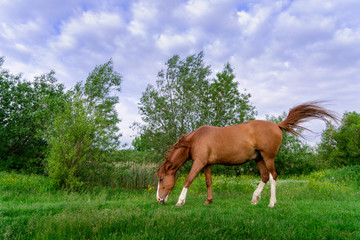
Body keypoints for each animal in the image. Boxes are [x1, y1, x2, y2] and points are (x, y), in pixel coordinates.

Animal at [155, 102, 338, 207]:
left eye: (161, 179)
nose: (159, 200)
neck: (194, 140)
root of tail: (277, 125)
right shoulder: (206, 164)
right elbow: (208, 182)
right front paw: (209, 201)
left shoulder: (199, 162)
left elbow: (188, 180)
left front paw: (180, 201)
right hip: (258, 159)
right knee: (264, 177)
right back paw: (255, 199)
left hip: (268, 158)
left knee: (272, 176)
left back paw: (271, 203)